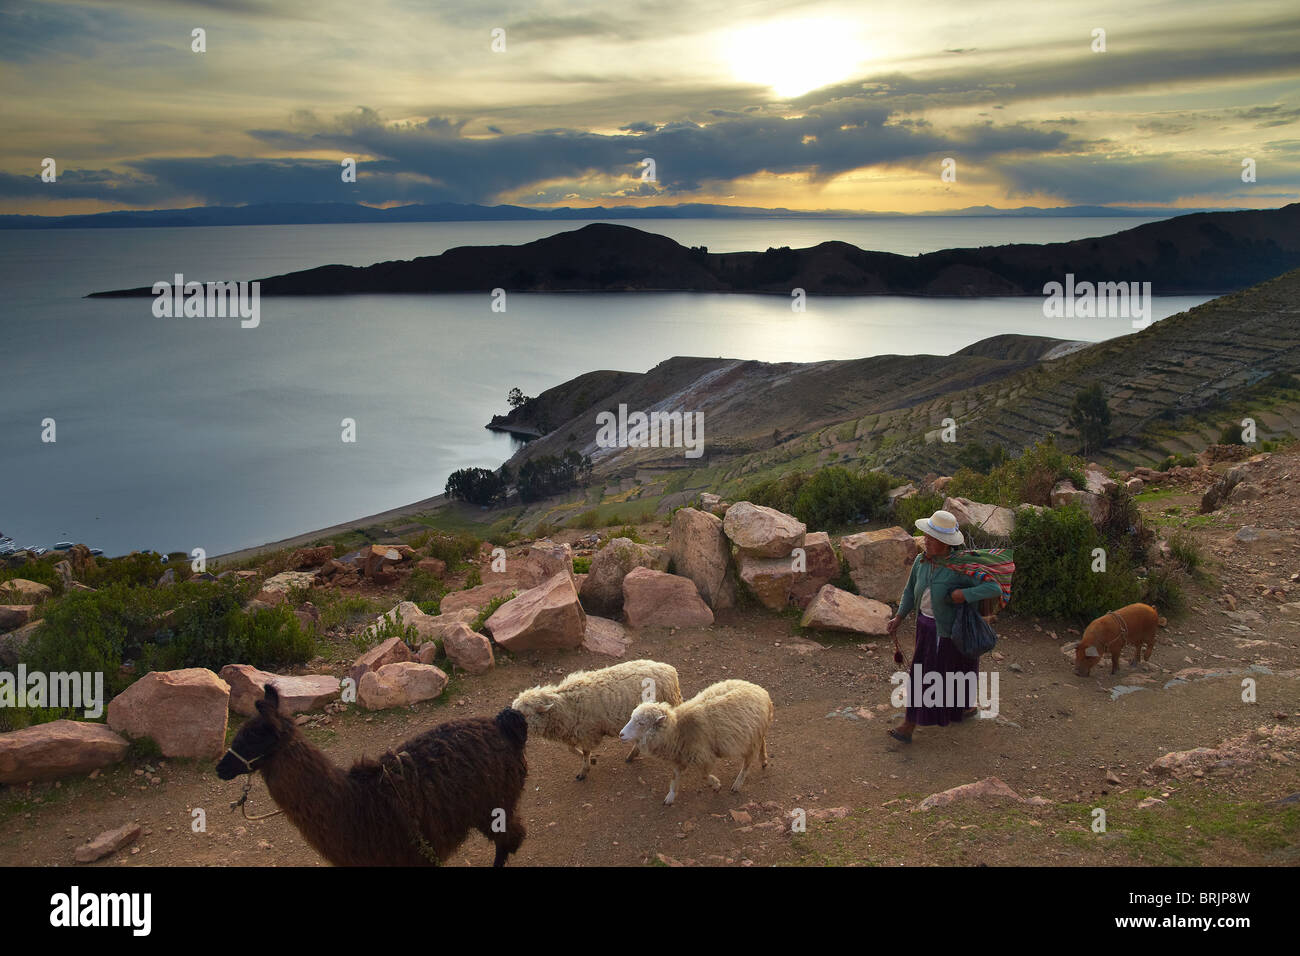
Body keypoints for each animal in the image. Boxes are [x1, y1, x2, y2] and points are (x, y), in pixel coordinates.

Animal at [506, 660, 681, 780]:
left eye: (524, 714)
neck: (565, 705)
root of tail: (669, 670)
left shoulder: (587, 732)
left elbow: (584, 752)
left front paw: (585, 769)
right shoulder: (574, 731)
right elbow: (571, 749)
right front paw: (593, 761)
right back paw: (631, 755)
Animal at [618, 681, 769, 806]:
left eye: (641, 723)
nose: (621, 734)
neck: (677, 729)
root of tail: (761, 691)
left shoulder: (703, 755)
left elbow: (704, 775)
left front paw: (716, 785)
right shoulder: (680, 757)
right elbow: (675, 777)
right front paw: (670, 796)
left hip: (749, 740)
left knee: (747, 763)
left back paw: (737, 784)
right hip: (755, 734)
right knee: (763, 742)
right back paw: (763, 760)